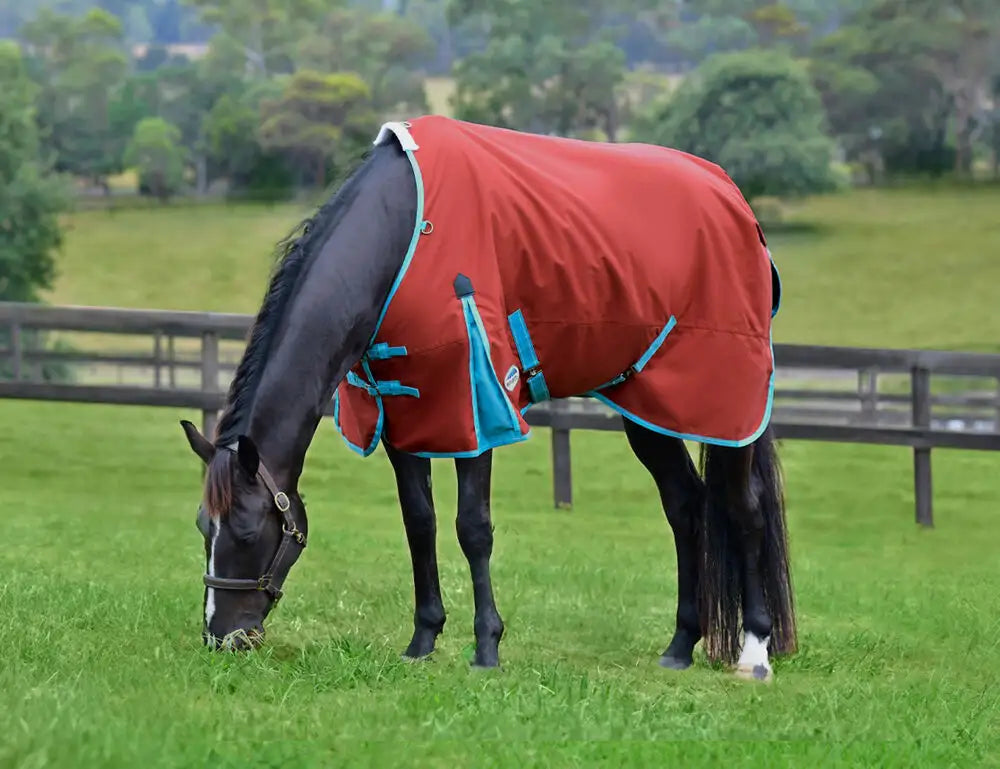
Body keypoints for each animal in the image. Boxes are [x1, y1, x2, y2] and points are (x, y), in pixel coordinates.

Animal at [181, 116, 796, 682]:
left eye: (244, 532)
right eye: (203, 527)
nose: (222, 638)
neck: (403, 234)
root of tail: (736, 204)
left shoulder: (478, 407)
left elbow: (472, 528)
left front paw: (486, 648)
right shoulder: (404, 414)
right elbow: (420, 522)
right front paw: (422, 640)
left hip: (726, 406)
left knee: (744, 510)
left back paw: (755, 652)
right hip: (649, 409)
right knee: (684, 506)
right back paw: (680, 646)